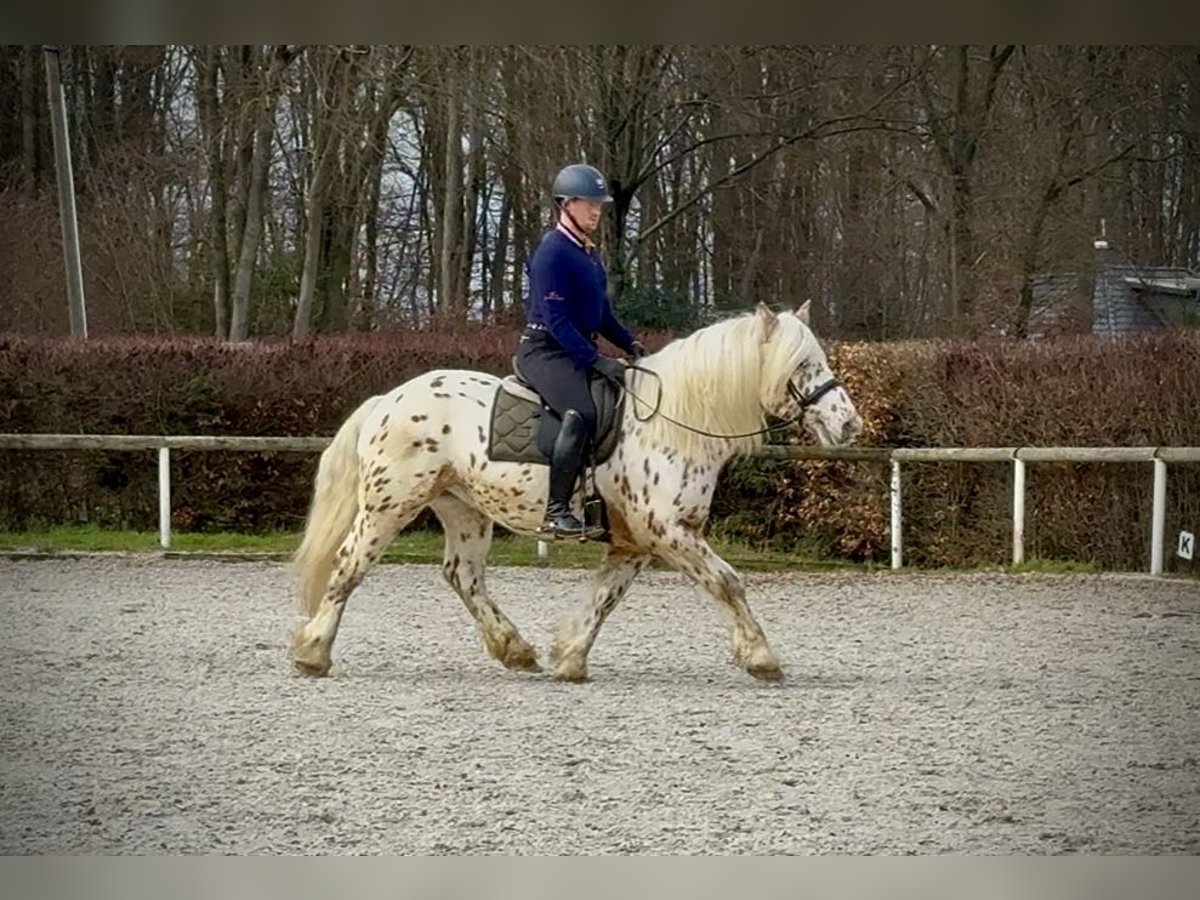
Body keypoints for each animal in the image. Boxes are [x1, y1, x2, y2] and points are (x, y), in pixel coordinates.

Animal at [290, 301, 863, 683]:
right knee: (349, 566)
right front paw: (761, 657)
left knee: (464, 577)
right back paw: (314, 652)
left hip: (464, 510)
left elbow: (604, 599)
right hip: (388, 506)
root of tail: (388, 398)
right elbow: (728, 583)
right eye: (802, 365)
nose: (850, 425)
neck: (674, 422)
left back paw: (515, 650)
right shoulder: (670, 533)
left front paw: (569, 657)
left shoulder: (636, 542)